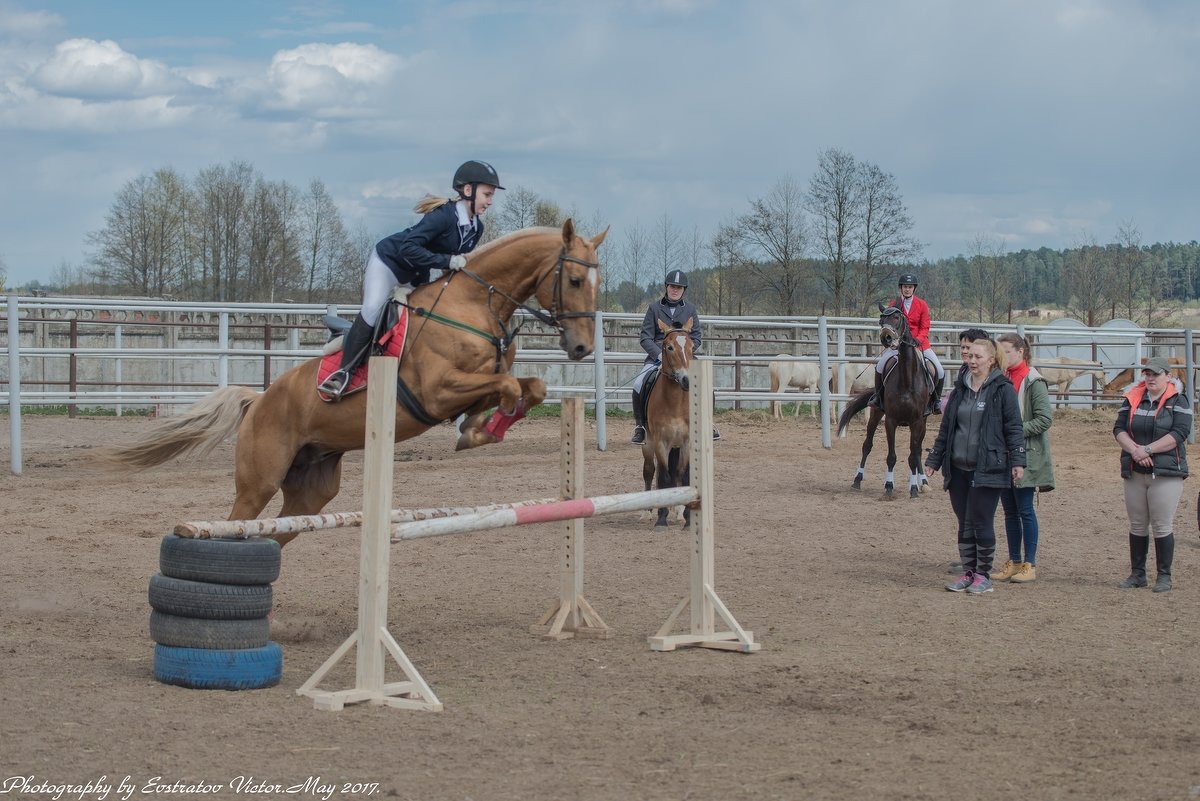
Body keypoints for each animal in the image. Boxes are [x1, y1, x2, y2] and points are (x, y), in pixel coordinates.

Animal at [91, 219, 609, 544]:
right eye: (575, 281)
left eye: (598, 284)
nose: (581, 348)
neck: (473, 304)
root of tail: (258, 403)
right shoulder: (437, 391)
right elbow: (510, 390)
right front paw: (479, 430)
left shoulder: (484, 378)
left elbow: (530, 387)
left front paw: (479, 430)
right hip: (258, 481)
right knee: (237, 523)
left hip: (312, 489)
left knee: (279, 533)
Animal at [638, 316, 696, 527]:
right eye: (669, 347)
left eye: (692, 346)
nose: (687, 380)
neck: (675, 403)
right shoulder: (660, 442)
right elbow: (663, 476)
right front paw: (661, 518)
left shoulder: (687, 442)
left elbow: (684, 476)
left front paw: (687, 517)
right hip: (648, 444)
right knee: (649, 471)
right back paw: (647, 511)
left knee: (675, 475)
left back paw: (677, 510)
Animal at [840, 303, 931, 496]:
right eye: (881, 320)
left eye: (897, 318)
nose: (886, 337)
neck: (907, 380)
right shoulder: (890, 420)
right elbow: (891, 456)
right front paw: (889, 485)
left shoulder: (917, 421)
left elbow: (913, 456)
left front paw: (914, 488)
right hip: (876, 413)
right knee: (867, 445)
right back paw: (857, 480)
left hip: (923, 423)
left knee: (918, 451)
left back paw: (923, 482)